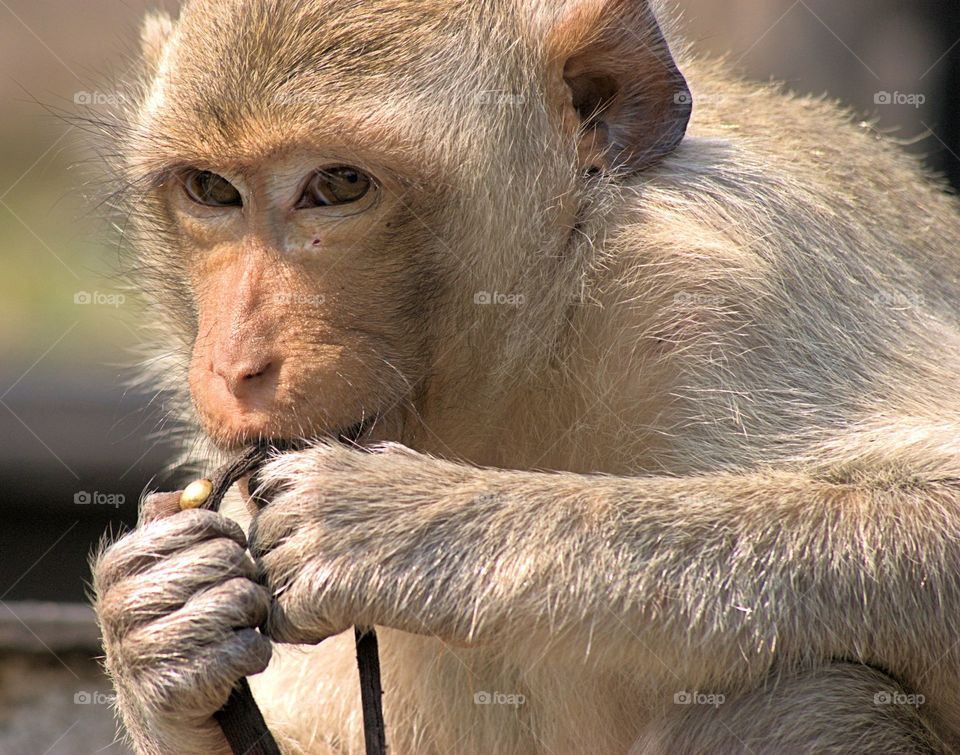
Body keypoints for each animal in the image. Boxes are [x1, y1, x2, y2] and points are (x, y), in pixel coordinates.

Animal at [89, 0, 960, 752]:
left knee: (812, 700)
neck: (538, 336)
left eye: (339, 185)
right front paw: (157, 619)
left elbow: (939, 521)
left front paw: (399, 524)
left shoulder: (736, 267)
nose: (235, 365)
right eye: (211, 189)